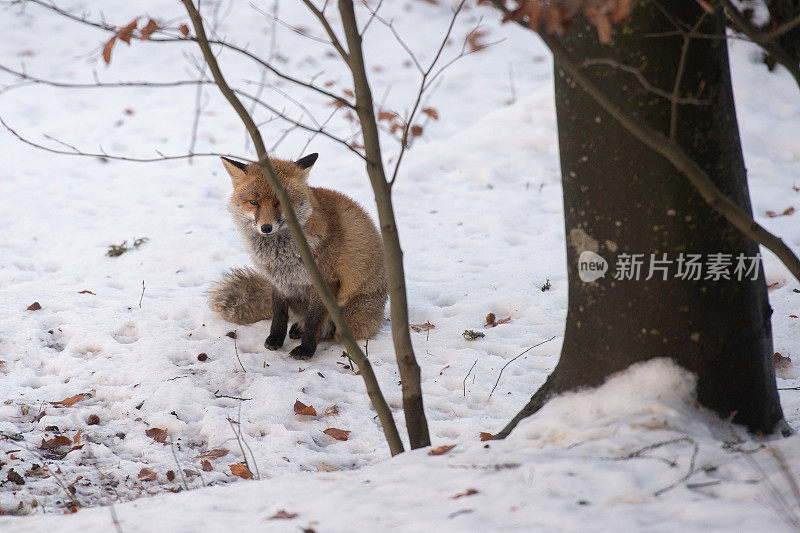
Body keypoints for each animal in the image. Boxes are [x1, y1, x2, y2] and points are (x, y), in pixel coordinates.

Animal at [206, 152, 388, 358]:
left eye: (280, 202)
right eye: (253, 202)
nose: (266, 228)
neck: (282, 255)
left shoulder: (324, 281)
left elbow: (314, 321)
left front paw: (306, 349)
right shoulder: (278, 280)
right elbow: (279, 314)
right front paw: (275, 339)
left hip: (351, 315)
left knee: (332, 331)